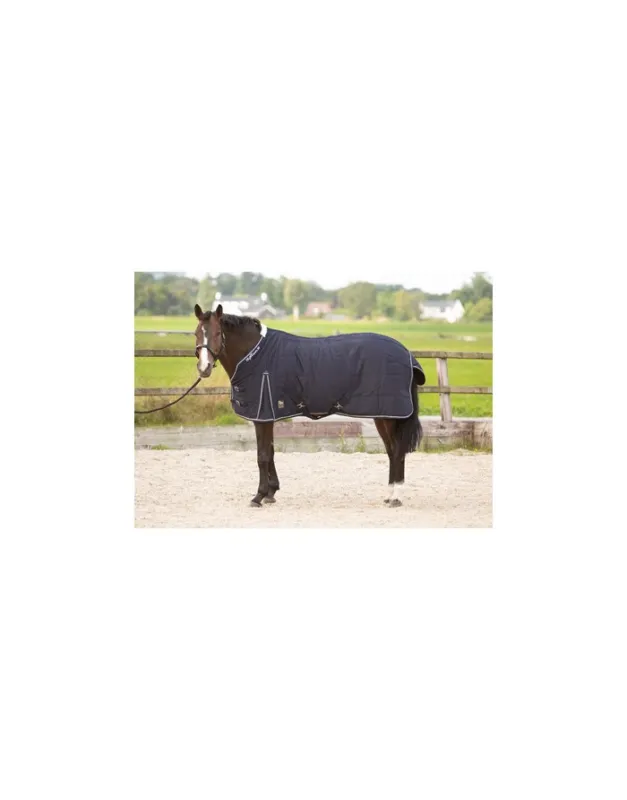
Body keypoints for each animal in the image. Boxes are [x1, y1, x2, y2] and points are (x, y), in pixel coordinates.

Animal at [194, 303, 426, 508]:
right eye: (196, 333)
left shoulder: (263, 416)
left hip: (390, 416)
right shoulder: (268, 415)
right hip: (383, 415)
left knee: (397, 452)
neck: (256, 355)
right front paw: (271, 492)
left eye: (217, 333)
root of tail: (407, 354)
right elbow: (271, 453)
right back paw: (389, 496)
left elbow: (262, 456)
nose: (204, 368)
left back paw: (395, 497)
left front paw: (259, 496)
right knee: (392, 451)